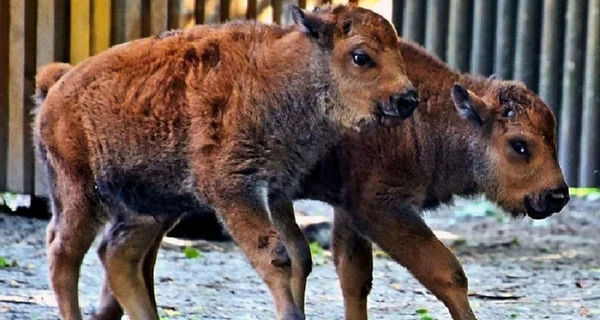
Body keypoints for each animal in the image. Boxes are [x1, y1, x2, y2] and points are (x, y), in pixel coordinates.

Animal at [32, 4, 418, 320]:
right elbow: (276, 256)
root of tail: (57, 86)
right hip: (80, 195)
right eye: (361, 56)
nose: (408, 99)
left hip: (154, 207)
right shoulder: (236, 190)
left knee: (118, 255)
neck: (277, 76)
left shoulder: (276, 192)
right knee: (63, 253)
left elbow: (299, 256)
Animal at [302, 40, 568, 320]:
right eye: (519, 145)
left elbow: (354, 277)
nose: (557, 196)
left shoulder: (348, 211)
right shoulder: (379, 207)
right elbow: (447, 272)